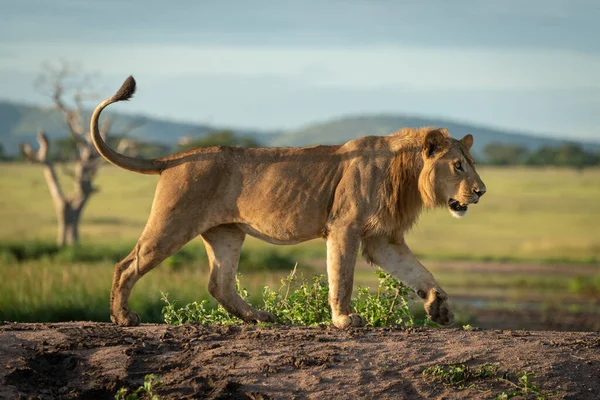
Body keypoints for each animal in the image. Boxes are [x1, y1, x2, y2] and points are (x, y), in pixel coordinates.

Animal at [90, 76, 488, 328]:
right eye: (458, 165)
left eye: (470, 163)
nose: (481, 191)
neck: (405, 175)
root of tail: (175, 157)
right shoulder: (345, 226)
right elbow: (342, 277)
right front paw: (344, 320)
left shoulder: (381, 238)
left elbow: (419, 272)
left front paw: (439, 308)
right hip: (173, 223)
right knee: (126, 265)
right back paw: (123, 318)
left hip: (226, 232)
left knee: (220, 284)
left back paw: (260, 318)